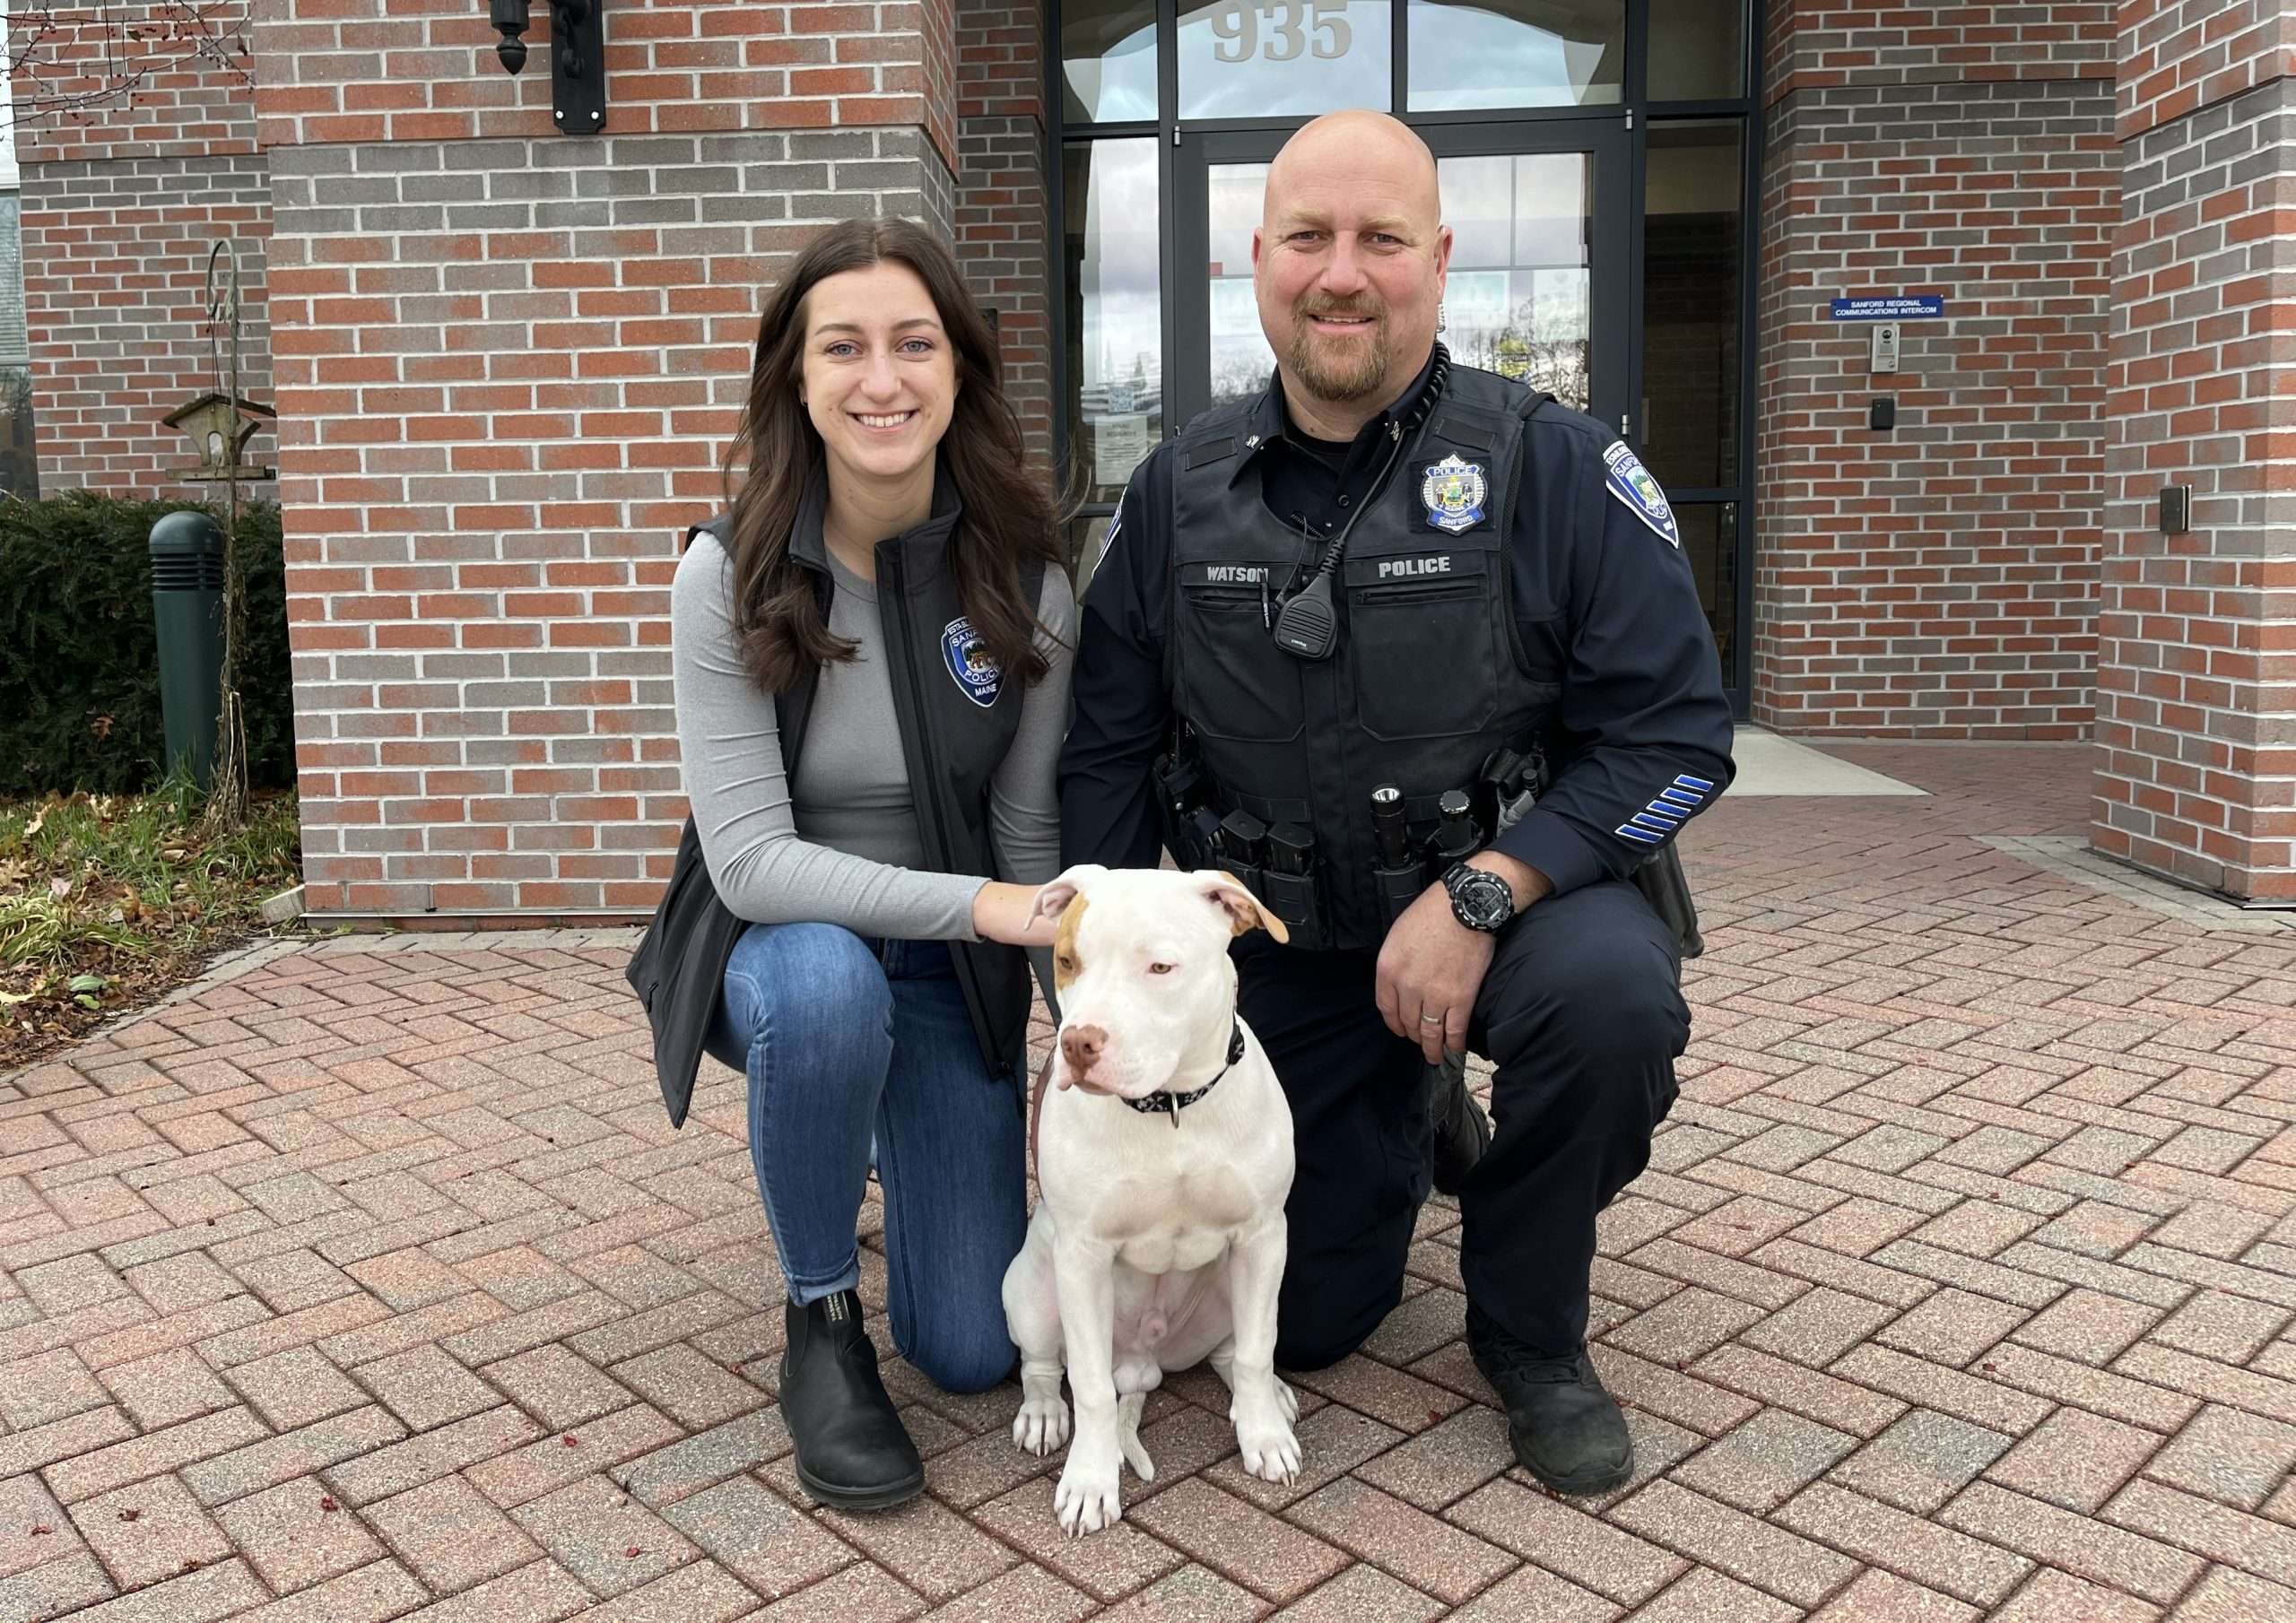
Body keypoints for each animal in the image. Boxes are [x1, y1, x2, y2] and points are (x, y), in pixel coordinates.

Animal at [1001, 863, 1304, 1533]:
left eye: (1161, 967)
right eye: (1067, 961)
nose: (1078, 1042)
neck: (1169, 1107)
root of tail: (1143, 1364)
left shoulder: (1263, 1234)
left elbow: (1258, 1350)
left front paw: (1264, 1437)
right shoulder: (1083, 1257)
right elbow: (1089, 1388)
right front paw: (1090, 1482)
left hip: (1234, 1286)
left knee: (1234, 1351)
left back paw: (1266, 1400)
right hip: (1029, 1287)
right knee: (1043, 1364)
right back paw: (1043, 1413)